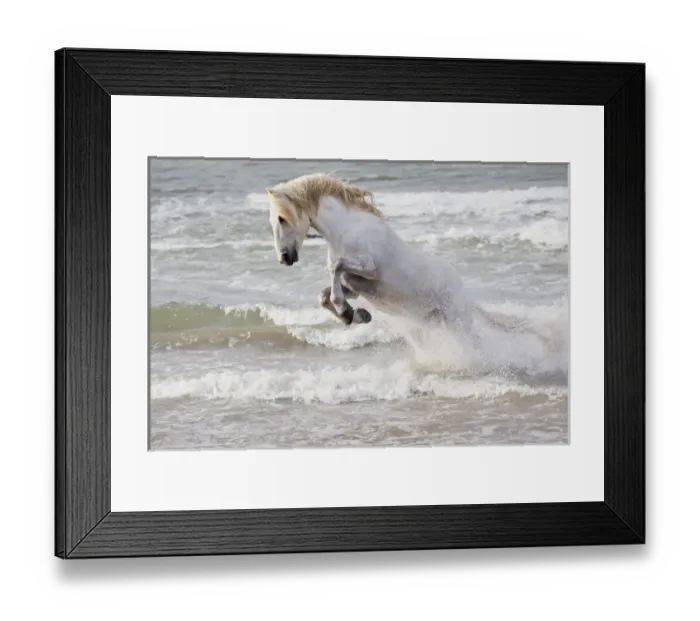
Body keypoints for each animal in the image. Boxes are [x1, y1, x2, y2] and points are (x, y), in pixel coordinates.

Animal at [266, 172, 482, 334]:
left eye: (282, 219)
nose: (284, 258)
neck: (344, 232)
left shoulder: (371, 270)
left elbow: (336, 267)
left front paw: (345, 312)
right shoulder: (353, 286)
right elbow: (323, 296)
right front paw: (357, 315)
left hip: (456, 319)